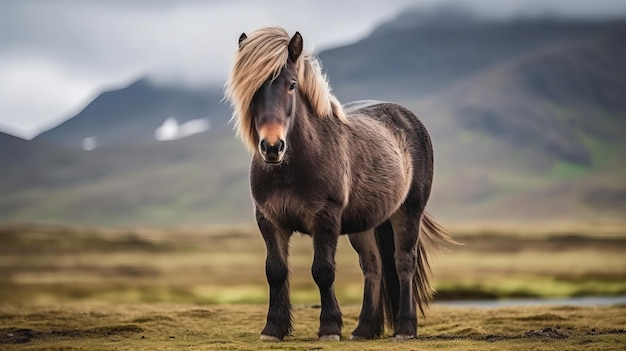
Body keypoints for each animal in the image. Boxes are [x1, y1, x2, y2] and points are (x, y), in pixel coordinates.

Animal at [224, 28, 454, 344]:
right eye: (252, 88)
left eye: (292, 85)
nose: (272, 147)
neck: (293, 167)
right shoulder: (269, 219)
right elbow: (275, 271)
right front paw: (273, 329)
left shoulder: (326, 218)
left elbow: (323, 271)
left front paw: (329, 328)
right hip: (364, 225)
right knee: (373, 267)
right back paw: (364, 329)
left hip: (408, 211)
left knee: (403, 263)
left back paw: (405, 328)